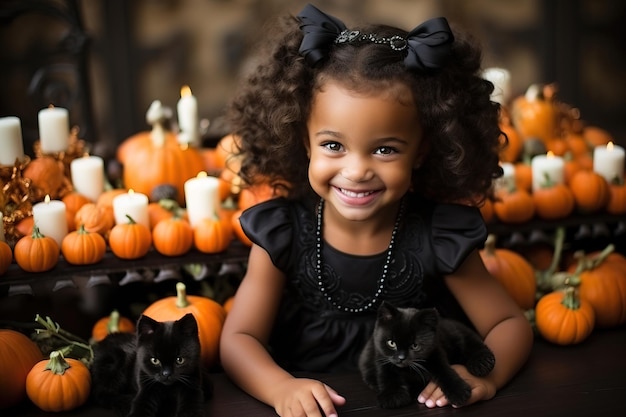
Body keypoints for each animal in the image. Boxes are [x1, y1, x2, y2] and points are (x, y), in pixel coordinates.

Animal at [358, 300, 494, 408]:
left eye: (415, 345)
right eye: (391, 343)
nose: (401, 358)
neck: (408, 369)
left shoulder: (435, 352)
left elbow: (444, 371)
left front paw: (459, 392)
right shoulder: (381, 357)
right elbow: (387, 375)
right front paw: (392, 396)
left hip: (455, 333)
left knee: (470, 341)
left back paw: (482, 363)